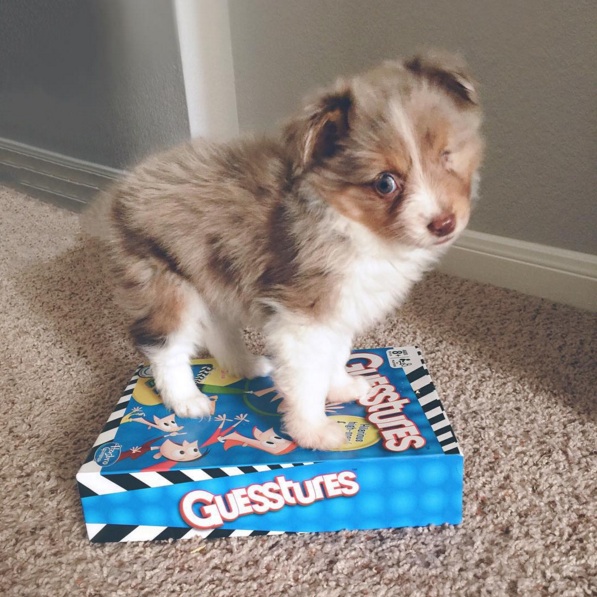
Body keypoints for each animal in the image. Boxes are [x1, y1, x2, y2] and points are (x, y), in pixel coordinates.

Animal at [98, 51, 484, 450]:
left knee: (218, 330)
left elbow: (336, 354)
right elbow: (307, 378)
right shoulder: (303, 315)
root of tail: (121, 187)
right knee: (167, 348)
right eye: (385, 183)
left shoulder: (338, 307)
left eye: (446, 156)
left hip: (211, 274)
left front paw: (342, 387)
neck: (353, 224)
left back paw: (248, 366)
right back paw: (188, 401)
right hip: (166, 283)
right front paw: (314, 432)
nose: (444, 224)